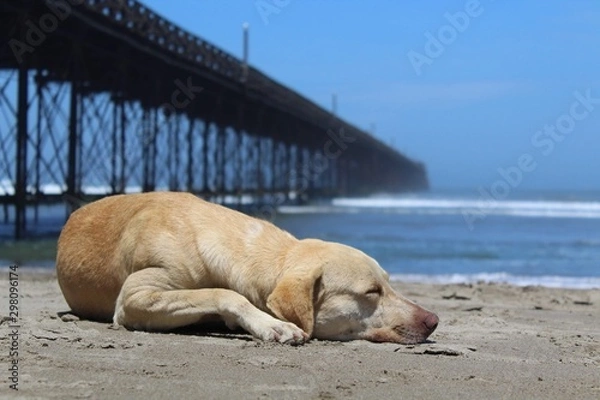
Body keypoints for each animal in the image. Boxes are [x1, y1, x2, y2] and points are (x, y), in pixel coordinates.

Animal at [56, 191, 438, 344]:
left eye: (389, 283)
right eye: (371, 292)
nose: (434, 320)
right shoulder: (135, 297)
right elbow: (223, 293)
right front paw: (273, 325)